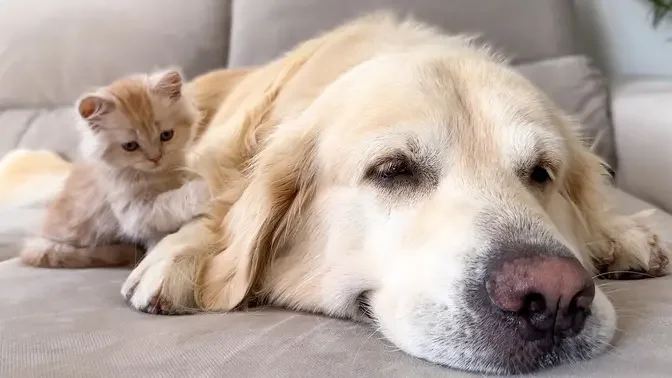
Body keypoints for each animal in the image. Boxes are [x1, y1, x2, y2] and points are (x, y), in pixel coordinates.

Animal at [19, 69, 209, 268]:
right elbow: (170, 202)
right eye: (130, 146)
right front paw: (202, 190)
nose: (155, 158)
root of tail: (37, 241)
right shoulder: (134, 213)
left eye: (166, 135)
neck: (156, 175)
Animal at [118, 13, 668, 374]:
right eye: (392, 170)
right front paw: (183, 253)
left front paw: (618, 233)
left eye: (540, 173)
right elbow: (210, 209)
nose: (554, 297)